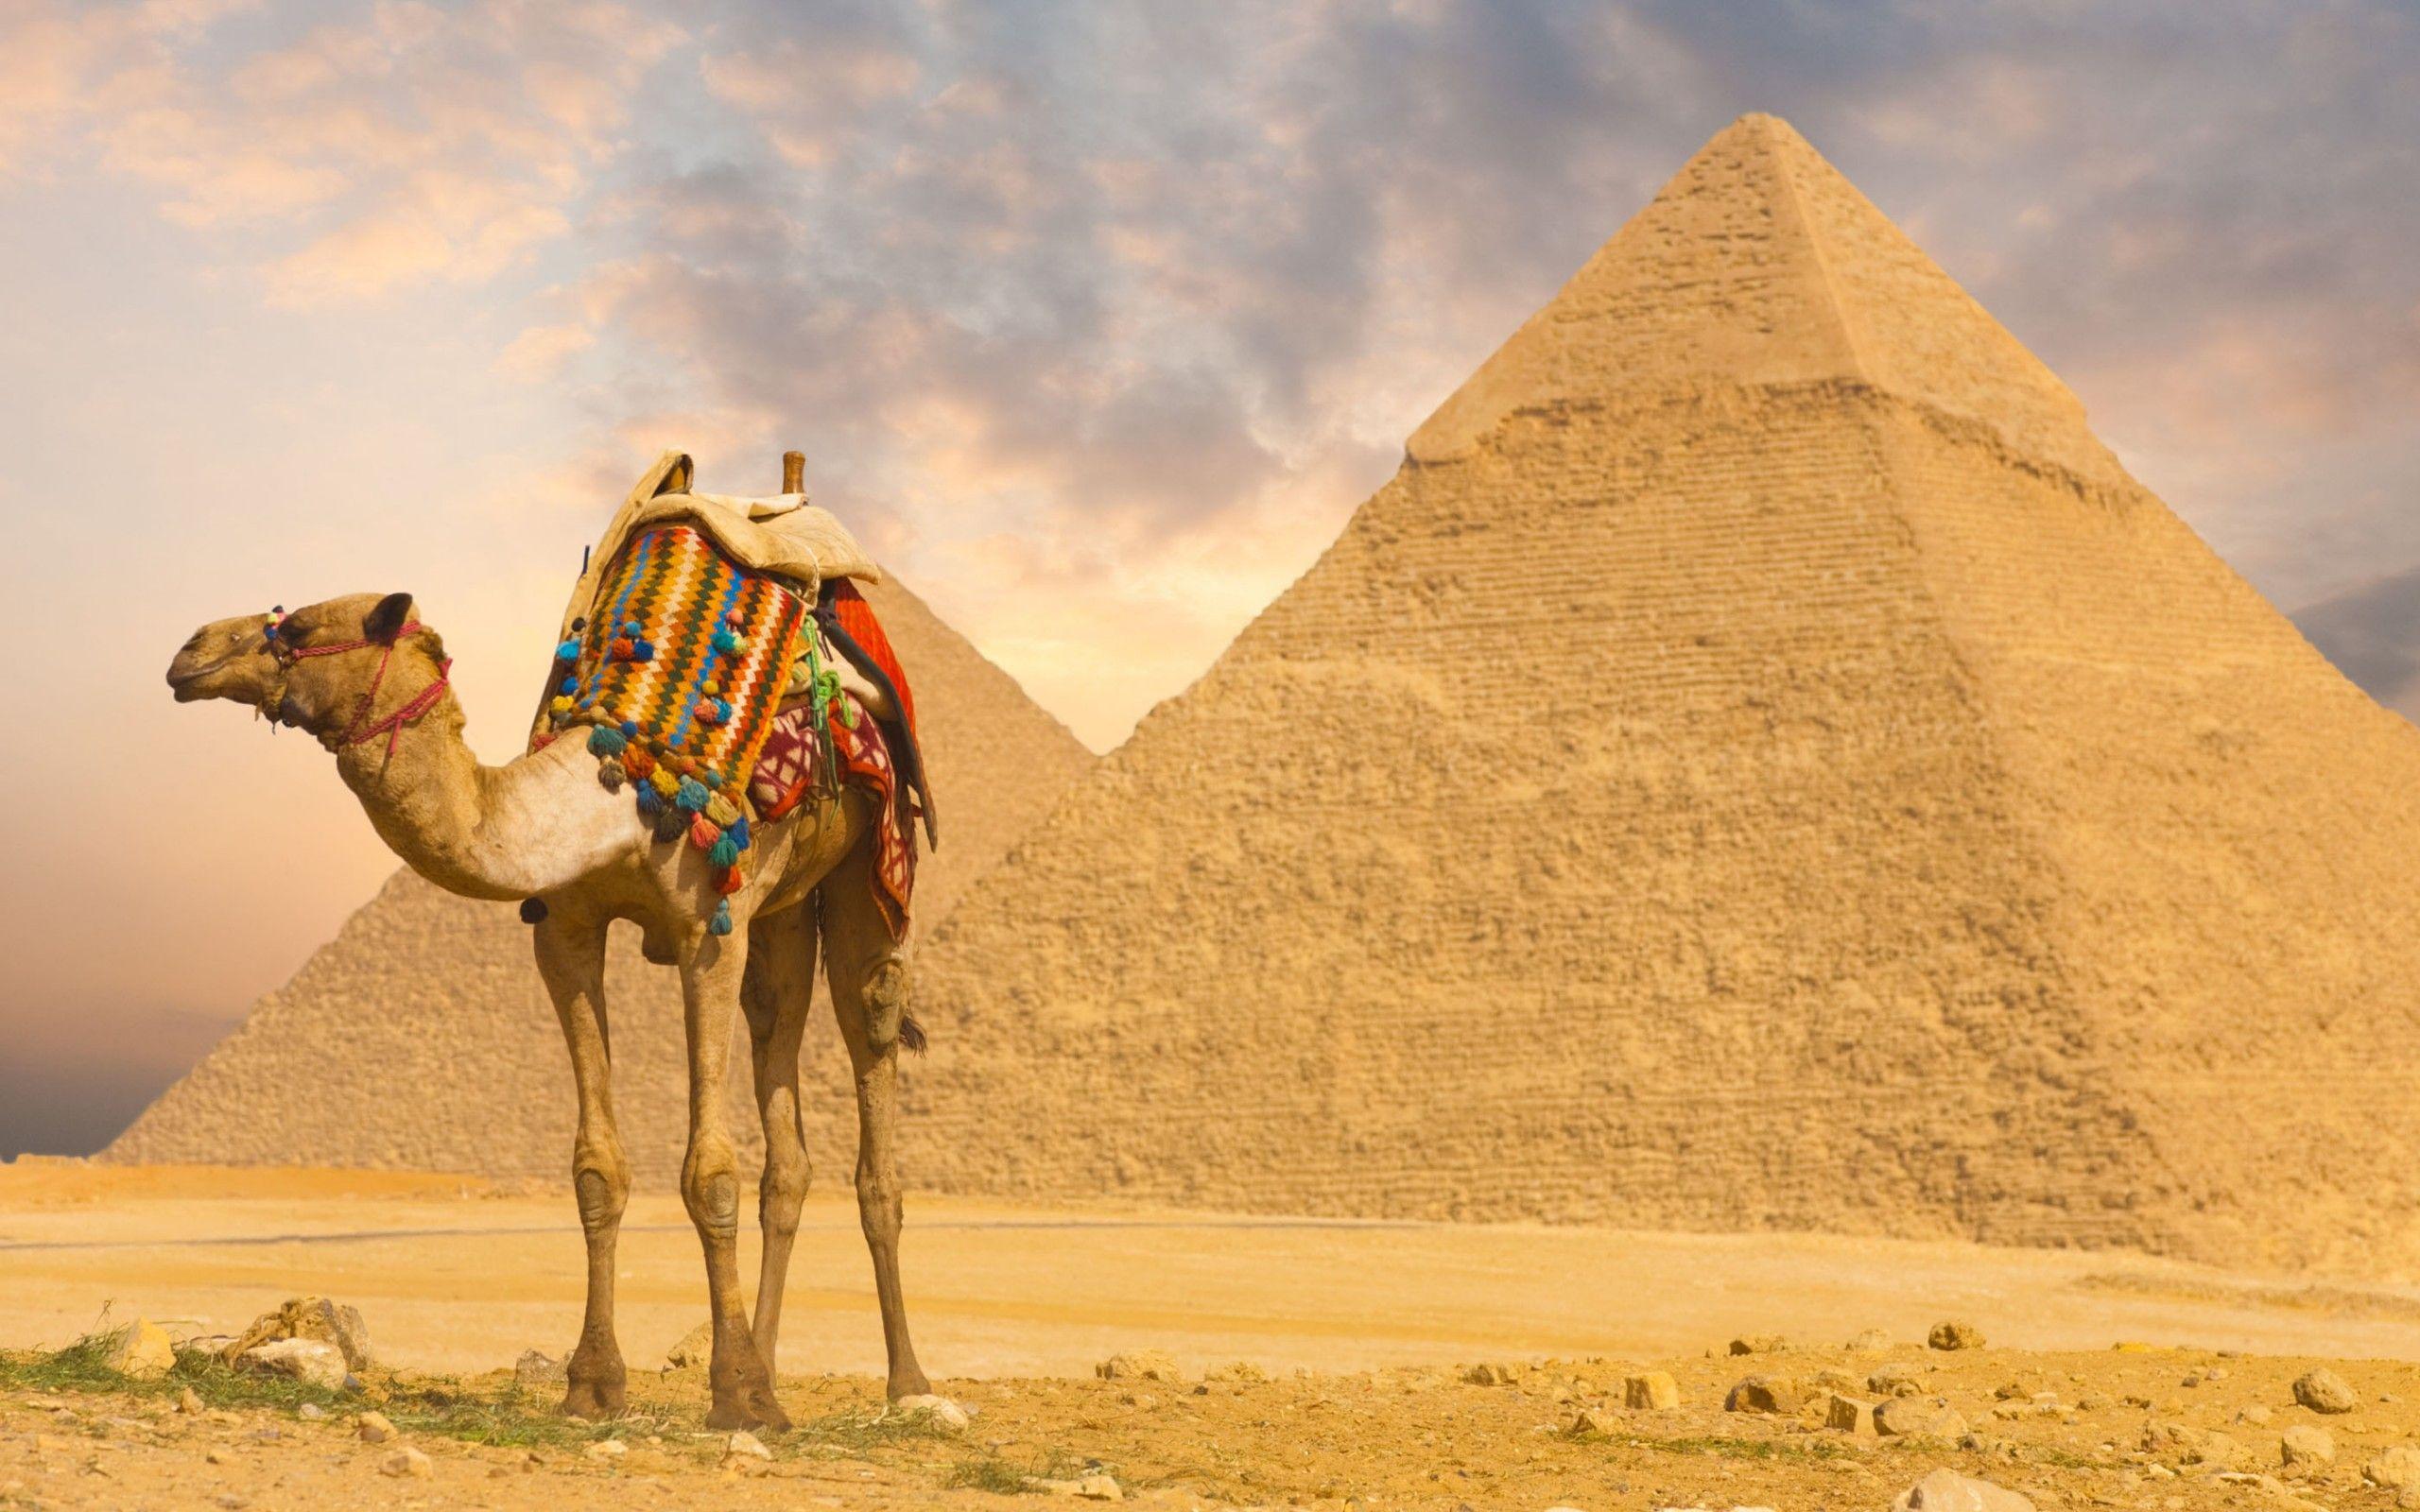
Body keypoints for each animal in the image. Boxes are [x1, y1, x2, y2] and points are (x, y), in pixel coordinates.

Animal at [165, 568, 933, 1433]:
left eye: (294, 628)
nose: (188, 652)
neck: (615, 799)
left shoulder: (709, 929)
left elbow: (709, 1172)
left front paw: (735, 1392)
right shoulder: (566, 931)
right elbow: (597, 1168)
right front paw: (596, 1384)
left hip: (867, 866)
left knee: (870, 1035)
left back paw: (904, 1381)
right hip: (783, 913)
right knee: (783, 1089)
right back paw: (773, 1365)